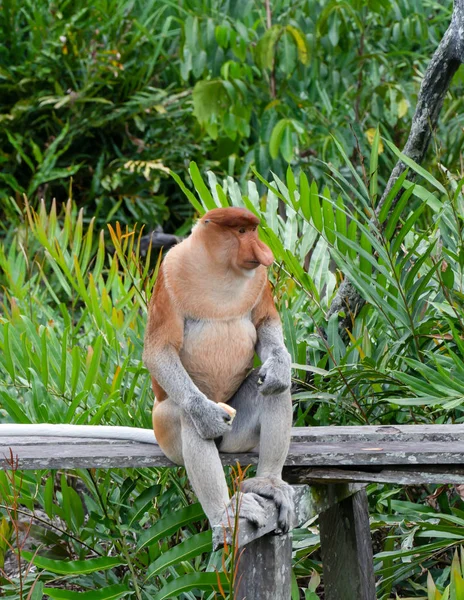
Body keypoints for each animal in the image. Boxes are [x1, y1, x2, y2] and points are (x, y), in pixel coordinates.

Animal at [142, 206, 294, 528]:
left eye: (253, 230)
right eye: (241, 232)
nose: (263, 251)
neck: (218, 267)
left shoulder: (259, 278)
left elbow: (264, 322)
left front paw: (280, 365)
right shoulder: (169, 273)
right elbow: (160, 350)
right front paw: (203, 413)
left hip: (237, 437)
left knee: (273, 388)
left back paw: (269, 483)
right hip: (166, 433)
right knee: (187, 417)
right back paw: (223, 511)